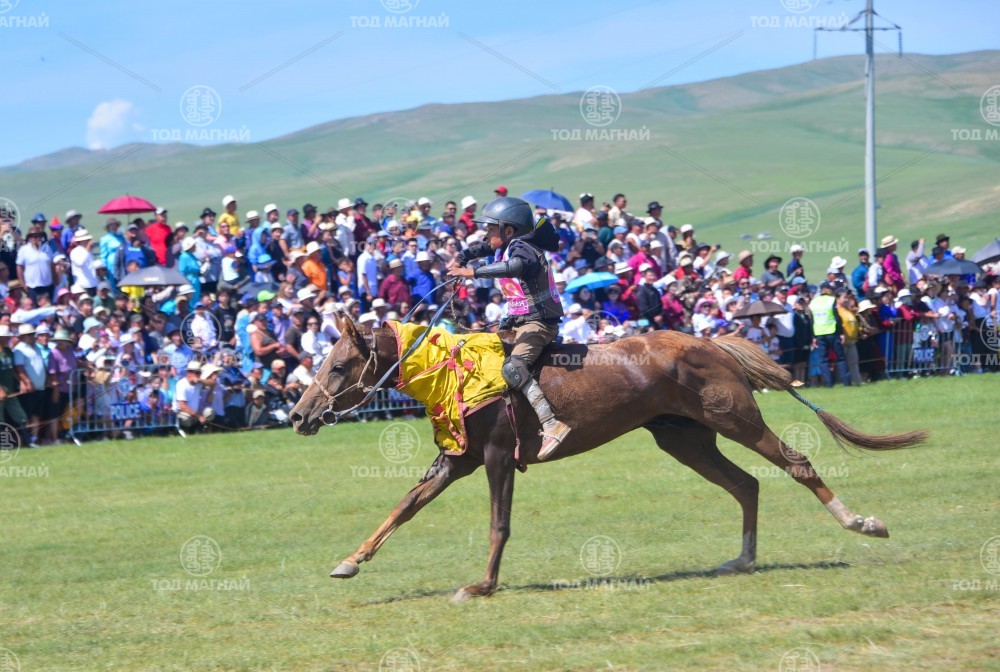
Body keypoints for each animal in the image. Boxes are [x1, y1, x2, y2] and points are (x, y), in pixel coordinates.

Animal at [290, 314, 927, 602]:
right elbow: (404, 507)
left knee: (795, 462)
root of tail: (712, 342)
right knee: (746, 485)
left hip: (735, 420)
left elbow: (499, 523)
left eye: (339, 365)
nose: (298, 415)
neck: (455, 371)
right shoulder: (455, 461)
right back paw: (741, 560)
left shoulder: (496, 458)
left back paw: (862, 522)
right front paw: (349, 561)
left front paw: (482, 585)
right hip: (684, 439)